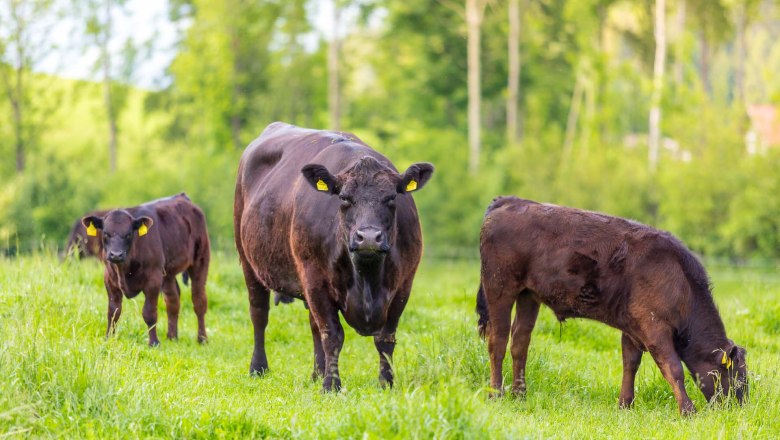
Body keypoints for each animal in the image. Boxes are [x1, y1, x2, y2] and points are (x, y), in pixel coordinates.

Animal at [83, 194, 210, 346]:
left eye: (128, 234)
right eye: (106, 233)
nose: (116, 254)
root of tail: (182, 196)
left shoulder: (153, 280)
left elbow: (149, 313)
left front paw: (154, 342)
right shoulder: (109, 279)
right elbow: (113, 311)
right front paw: (109, 338)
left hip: (200, 259)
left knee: (199, 300)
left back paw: (202, 338)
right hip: (168, 274)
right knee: (173, 300)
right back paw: (172, 337)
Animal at [235, 122, 436, 390]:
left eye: (391, 197)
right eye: (344, 198)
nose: (368, 237)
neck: (367, 279)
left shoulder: (404, 284)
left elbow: (385, 338)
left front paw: (386, 383)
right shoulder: (315, 279)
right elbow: (332, 334)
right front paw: (331, 385)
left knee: (312, 325)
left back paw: (317, 373)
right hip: (248, 261)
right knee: (259, 313)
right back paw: (258, 367)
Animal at [478, 198, 748, 414]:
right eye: (738, 377)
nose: (741, 407)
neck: (681, 281)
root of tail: (509, 200)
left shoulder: (633, 328)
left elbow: (630, 364)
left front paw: (625, 405)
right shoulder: (654, 327)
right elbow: (673, 368)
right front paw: (688, 411)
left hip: (528, 295)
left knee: (520, 342)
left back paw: (519, 394)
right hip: (500, 288)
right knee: (498, 340)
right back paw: (496, 394)